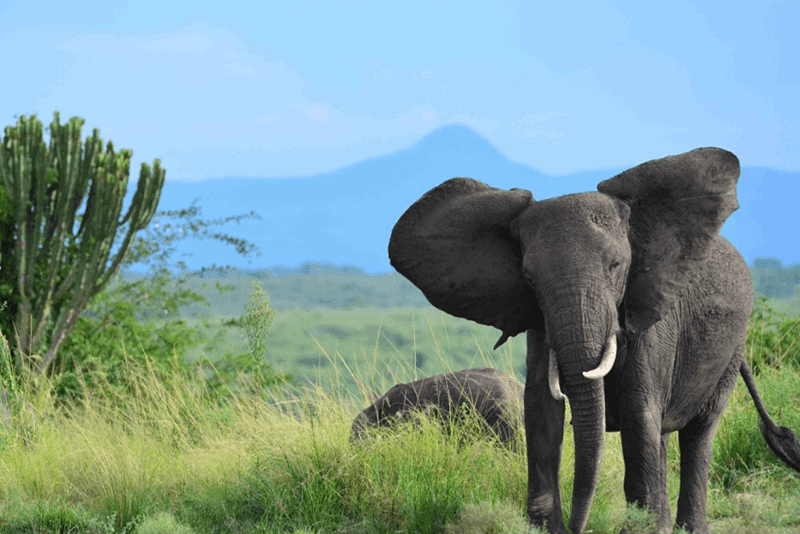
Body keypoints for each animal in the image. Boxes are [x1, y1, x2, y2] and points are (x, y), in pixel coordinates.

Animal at [388, 148, 800, 534]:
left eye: (616, 266)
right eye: (529, 278)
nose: (577, 526)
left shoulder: (650, 313)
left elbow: (638, 412)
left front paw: (636, 527)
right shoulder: (540, 322)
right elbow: (541, 410)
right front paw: (546, 527)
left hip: (733, 345)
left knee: (698, 433)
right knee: (662, 435)